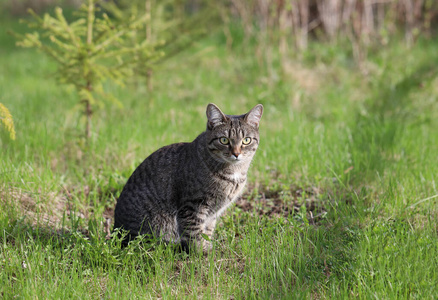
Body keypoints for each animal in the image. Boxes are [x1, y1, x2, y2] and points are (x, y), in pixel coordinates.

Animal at [114, 103, 264, 253]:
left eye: (246, 140)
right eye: (224, 140)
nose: (236, 153)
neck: (234, 172)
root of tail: (116, 234)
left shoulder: (212, 213)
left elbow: (207, 230)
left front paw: (207, 247)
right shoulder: (192, 205)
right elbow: (194, 232)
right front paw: (200, 253)